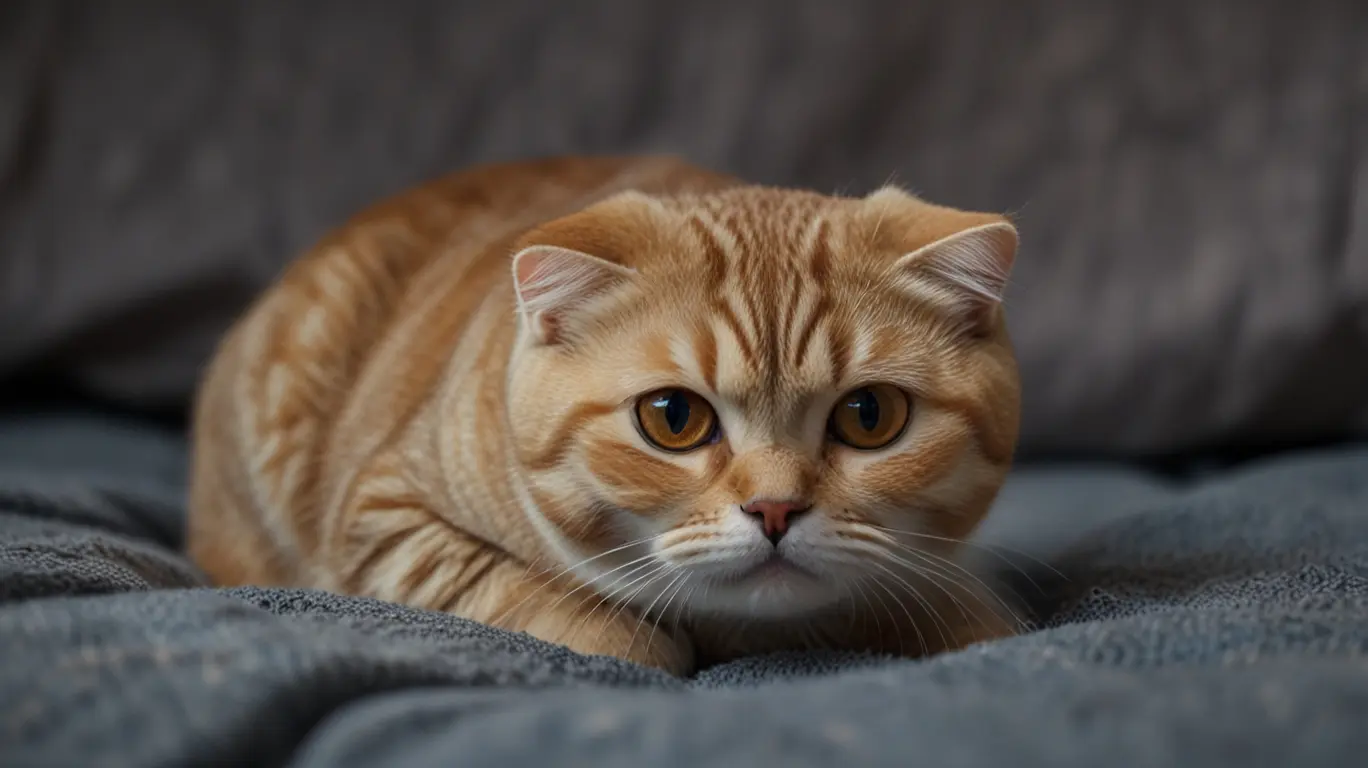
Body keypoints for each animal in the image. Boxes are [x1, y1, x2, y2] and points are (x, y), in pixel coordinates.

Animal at [190, 154, 1028, 670]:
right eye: (673, 418)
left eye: (868, 414)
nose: (775, 508)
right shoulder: (382, 518)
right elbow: (523, 593)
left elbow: (967, 615)